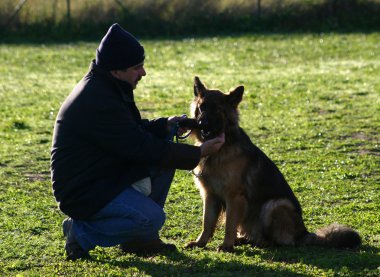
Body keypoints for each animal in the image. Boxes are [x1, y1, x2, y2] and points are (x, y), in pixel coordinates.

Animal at [186, 76, 360, 251]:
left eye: (217, 109)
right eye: (202, 107)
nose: (201, 123)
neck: (221, 149)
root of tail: (303, 233)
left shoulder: (234, 197)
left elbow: (229, 224)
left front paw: (226, 245)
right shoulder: (210, 196)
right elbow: (207, 223)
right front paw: (200, 243)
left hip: (276, 204)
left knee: (280, 241)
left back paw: (261, 242)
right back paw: (243, 239)